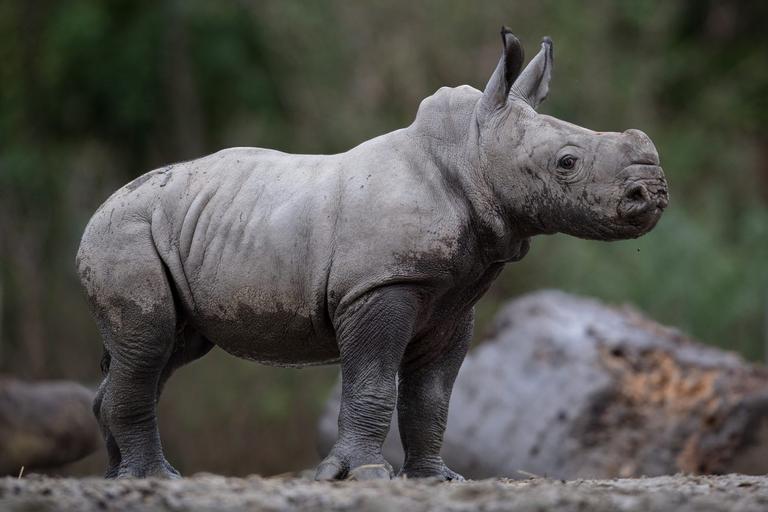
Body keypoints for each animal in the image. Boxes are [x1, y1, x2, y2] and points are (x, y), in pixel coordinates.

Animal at [77, 28, 668, 481]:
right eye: (567, 163)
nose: (654, 193)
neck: (469, 156)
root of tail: (100, 207)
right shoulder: (380, 284)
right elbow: (374, 383)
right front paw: (362, 474)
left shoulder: (452, 303)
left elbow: (431, 398)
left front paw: (435, 478)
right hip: (124, 233)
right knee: (150, 339)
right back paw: (154, 477)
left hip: (163, 231)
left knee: (169, 349)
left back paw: (119, 476)